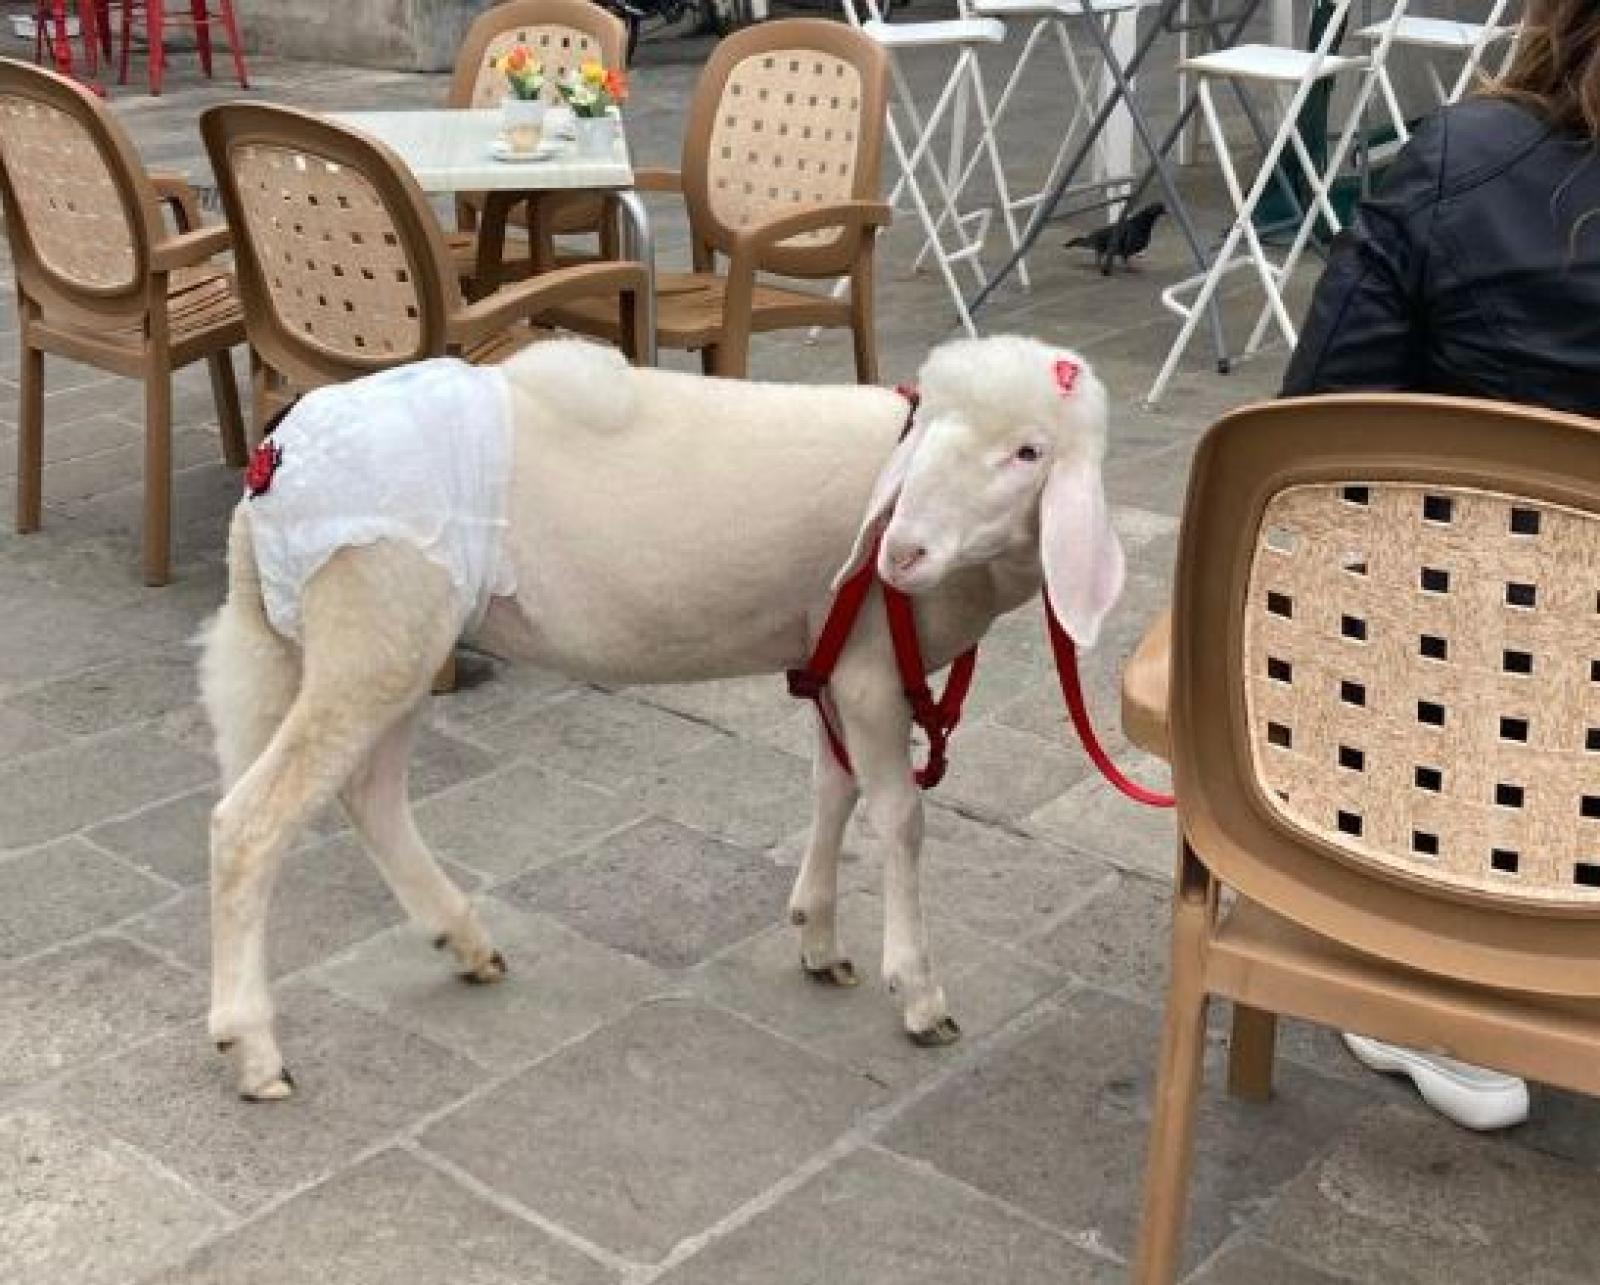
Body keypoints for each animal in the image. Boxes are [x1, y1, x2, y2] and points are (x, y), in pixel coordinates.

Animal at [199, 334, 1123, 1100]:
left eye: (1030, 452)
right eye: (929, 432)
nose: (901, 554)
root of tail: (272, 464)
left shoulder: (833, 655)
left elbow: (833, 787)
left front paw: (818, 935)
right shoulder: (871, 669)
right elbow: (900, 816)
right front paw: (920, 993)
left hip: (393, 637)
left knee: (372, 793)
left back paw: (462, 938)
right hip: (377, 618)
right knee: (252, 822)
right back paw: (252, 1046)